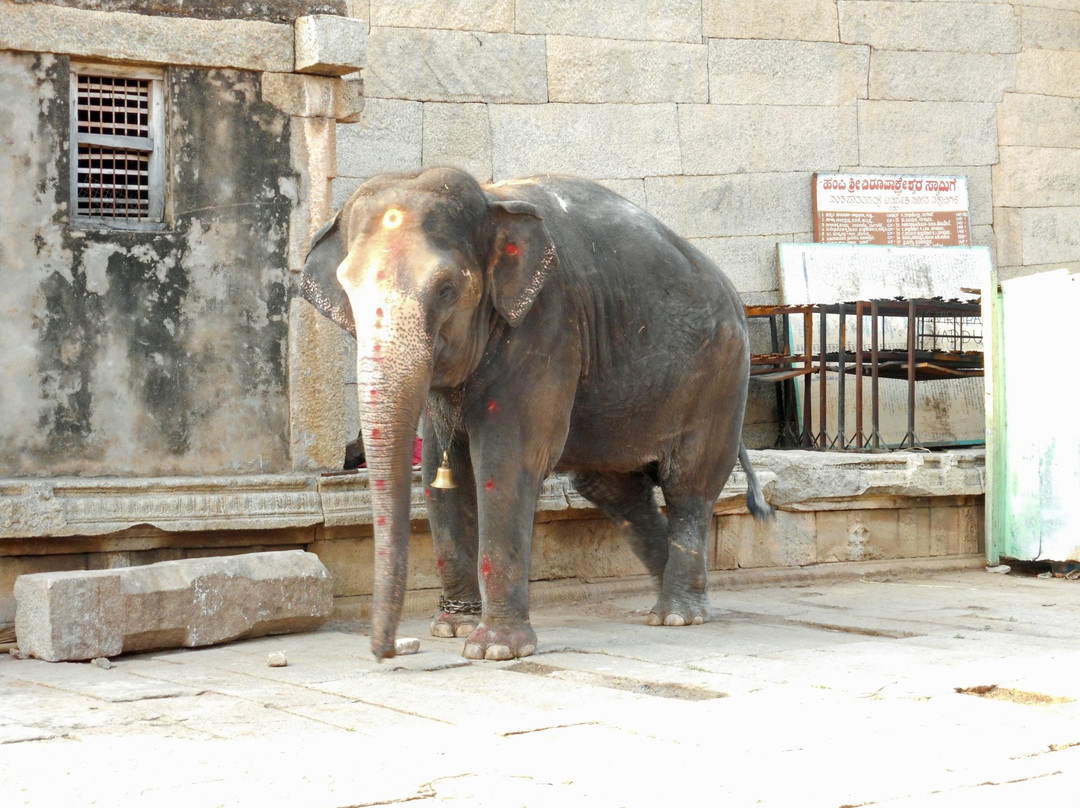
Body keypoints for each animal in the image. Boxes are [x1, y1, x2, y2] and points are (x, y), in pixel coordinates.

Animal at [304, 167, 773, 661]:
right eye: (347, 289)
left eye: (446, 290)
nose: (387, 651)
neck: (490, 202)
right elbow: (440, 470)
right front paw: (451, 627)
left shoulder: (546, 323)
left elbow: (506, 463)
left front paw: (494, 649)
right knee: (611, 487)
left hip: (718, 378)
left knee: (689, 485)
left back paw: (679, 614)